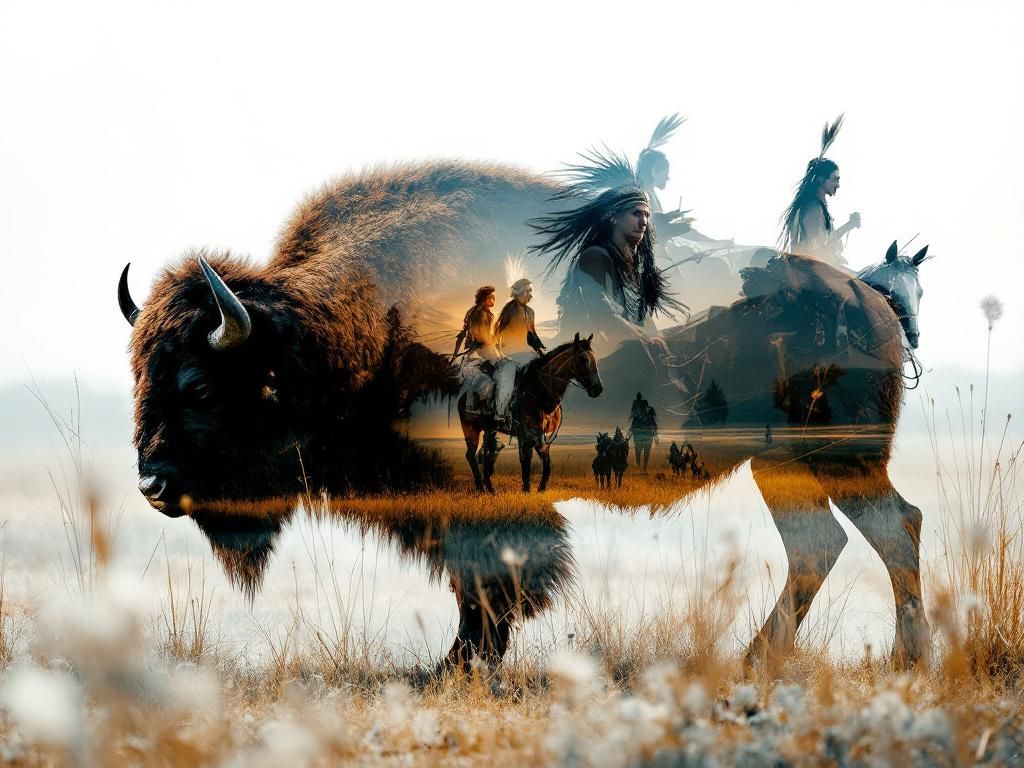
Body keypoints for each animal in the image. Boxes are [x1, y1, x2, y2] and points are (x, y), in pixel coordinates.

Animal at [458, 333, 603, 493]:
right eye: (582, 359)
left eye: (594, 357)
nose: (597, 389)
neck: (539, 393)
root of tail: (465, 393)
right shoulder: (525, 437)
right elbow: (526, 463)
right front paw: (526, 489)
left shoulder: (543, 439)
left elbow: (547, 465)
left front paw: (541, 488)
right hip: (470, 428)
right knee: (471, 455)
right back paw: (480, 487)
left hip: (490, 430)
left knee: (487, 454)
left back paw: (490, 489)